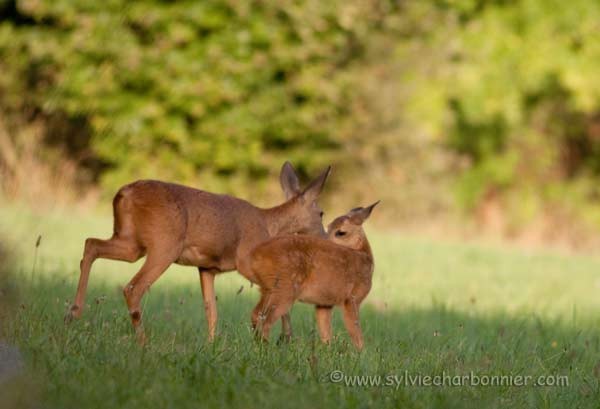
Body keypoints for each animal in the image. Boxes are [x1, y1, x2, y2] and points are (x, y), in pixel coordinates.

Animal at [65, 161, 332, 342]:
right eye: (321, 213)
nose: (325, 237)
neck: (268, 225)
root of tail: (124, 193)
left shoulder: (206, 268)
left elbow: (211, 310)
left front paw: (211, 344)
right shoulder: (245, 259)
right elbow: (276, 291)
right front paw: (282, 337)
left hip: (131, 243)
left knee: (91, 244)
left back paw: (74, 313)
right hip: (165, 244)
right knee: (133, 287)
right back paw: (143, 342)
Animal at [245, 199, 378, 350]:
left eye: (341, 232)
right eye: (329, 227)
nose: (325, 240)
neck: (364, 257)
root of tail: (255, 255)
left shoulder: (324, 303)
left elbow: (325, 333)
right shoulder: (352, 298)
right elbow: (356, 333)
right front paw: (361, 353)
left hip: (267, 288)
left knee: (256, 314)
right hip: (284, 288)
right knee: (266, 320)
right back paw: (266, 349)